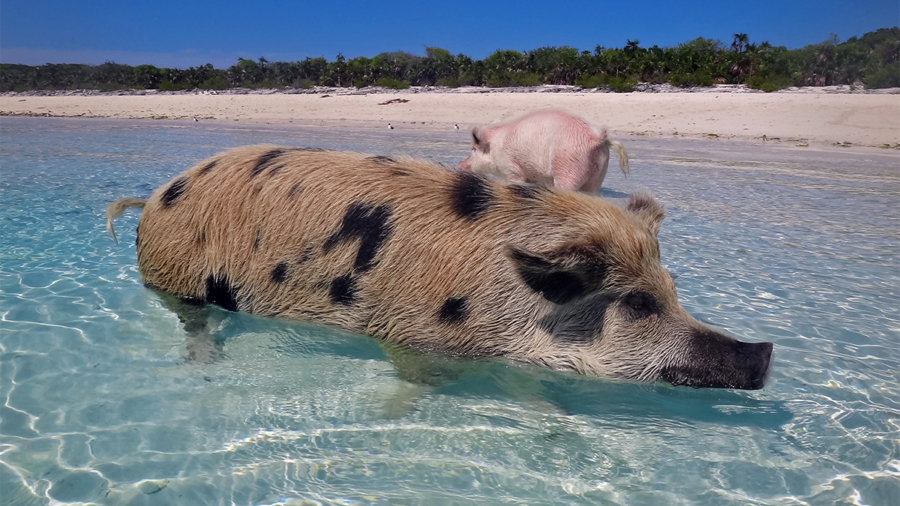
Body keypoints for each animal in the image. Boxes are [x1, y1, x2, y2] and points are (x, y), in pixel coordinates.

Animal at [107, 144, 772, 390]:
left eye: (674, 288)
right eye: (637, 303)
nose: (764, 350)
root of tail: (156, 195)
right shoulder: (411, 334)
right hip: (177, 275)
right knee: (191, 318)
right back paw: (206, 365)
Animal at [458, 109, 632, 193]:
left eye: (473, 149)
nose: (460, 164)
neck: (494, 149)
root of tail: (597, 138)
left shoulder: (511, 168)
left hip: (568, 168)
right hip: (599, 174)